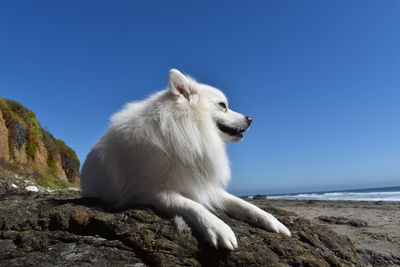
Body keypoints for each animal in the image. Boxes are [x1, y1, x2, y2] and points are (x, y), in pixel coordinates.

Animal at [80, 69, 290, 251]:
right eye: (223, 105)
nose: (250, 118)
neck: (184, 131)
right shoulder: (152, 192)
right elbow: (193, 205)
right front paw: (218, 228)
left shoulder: (205, 185)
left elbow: (244, 204)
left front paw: (272, 221)